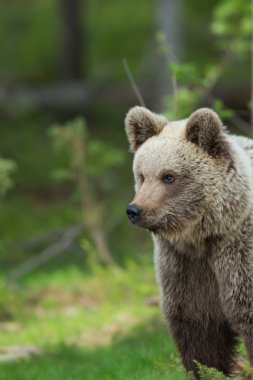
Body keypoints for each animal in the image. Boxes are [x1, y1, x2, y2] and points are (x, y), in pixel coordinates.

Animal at [125, 106, 253, 378]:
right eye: (142, 175)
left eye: (168, 176)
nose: (134, 210)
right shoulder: (186, 265)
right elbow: (198, 325)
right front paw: (209, 370)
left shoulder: (238, 253)